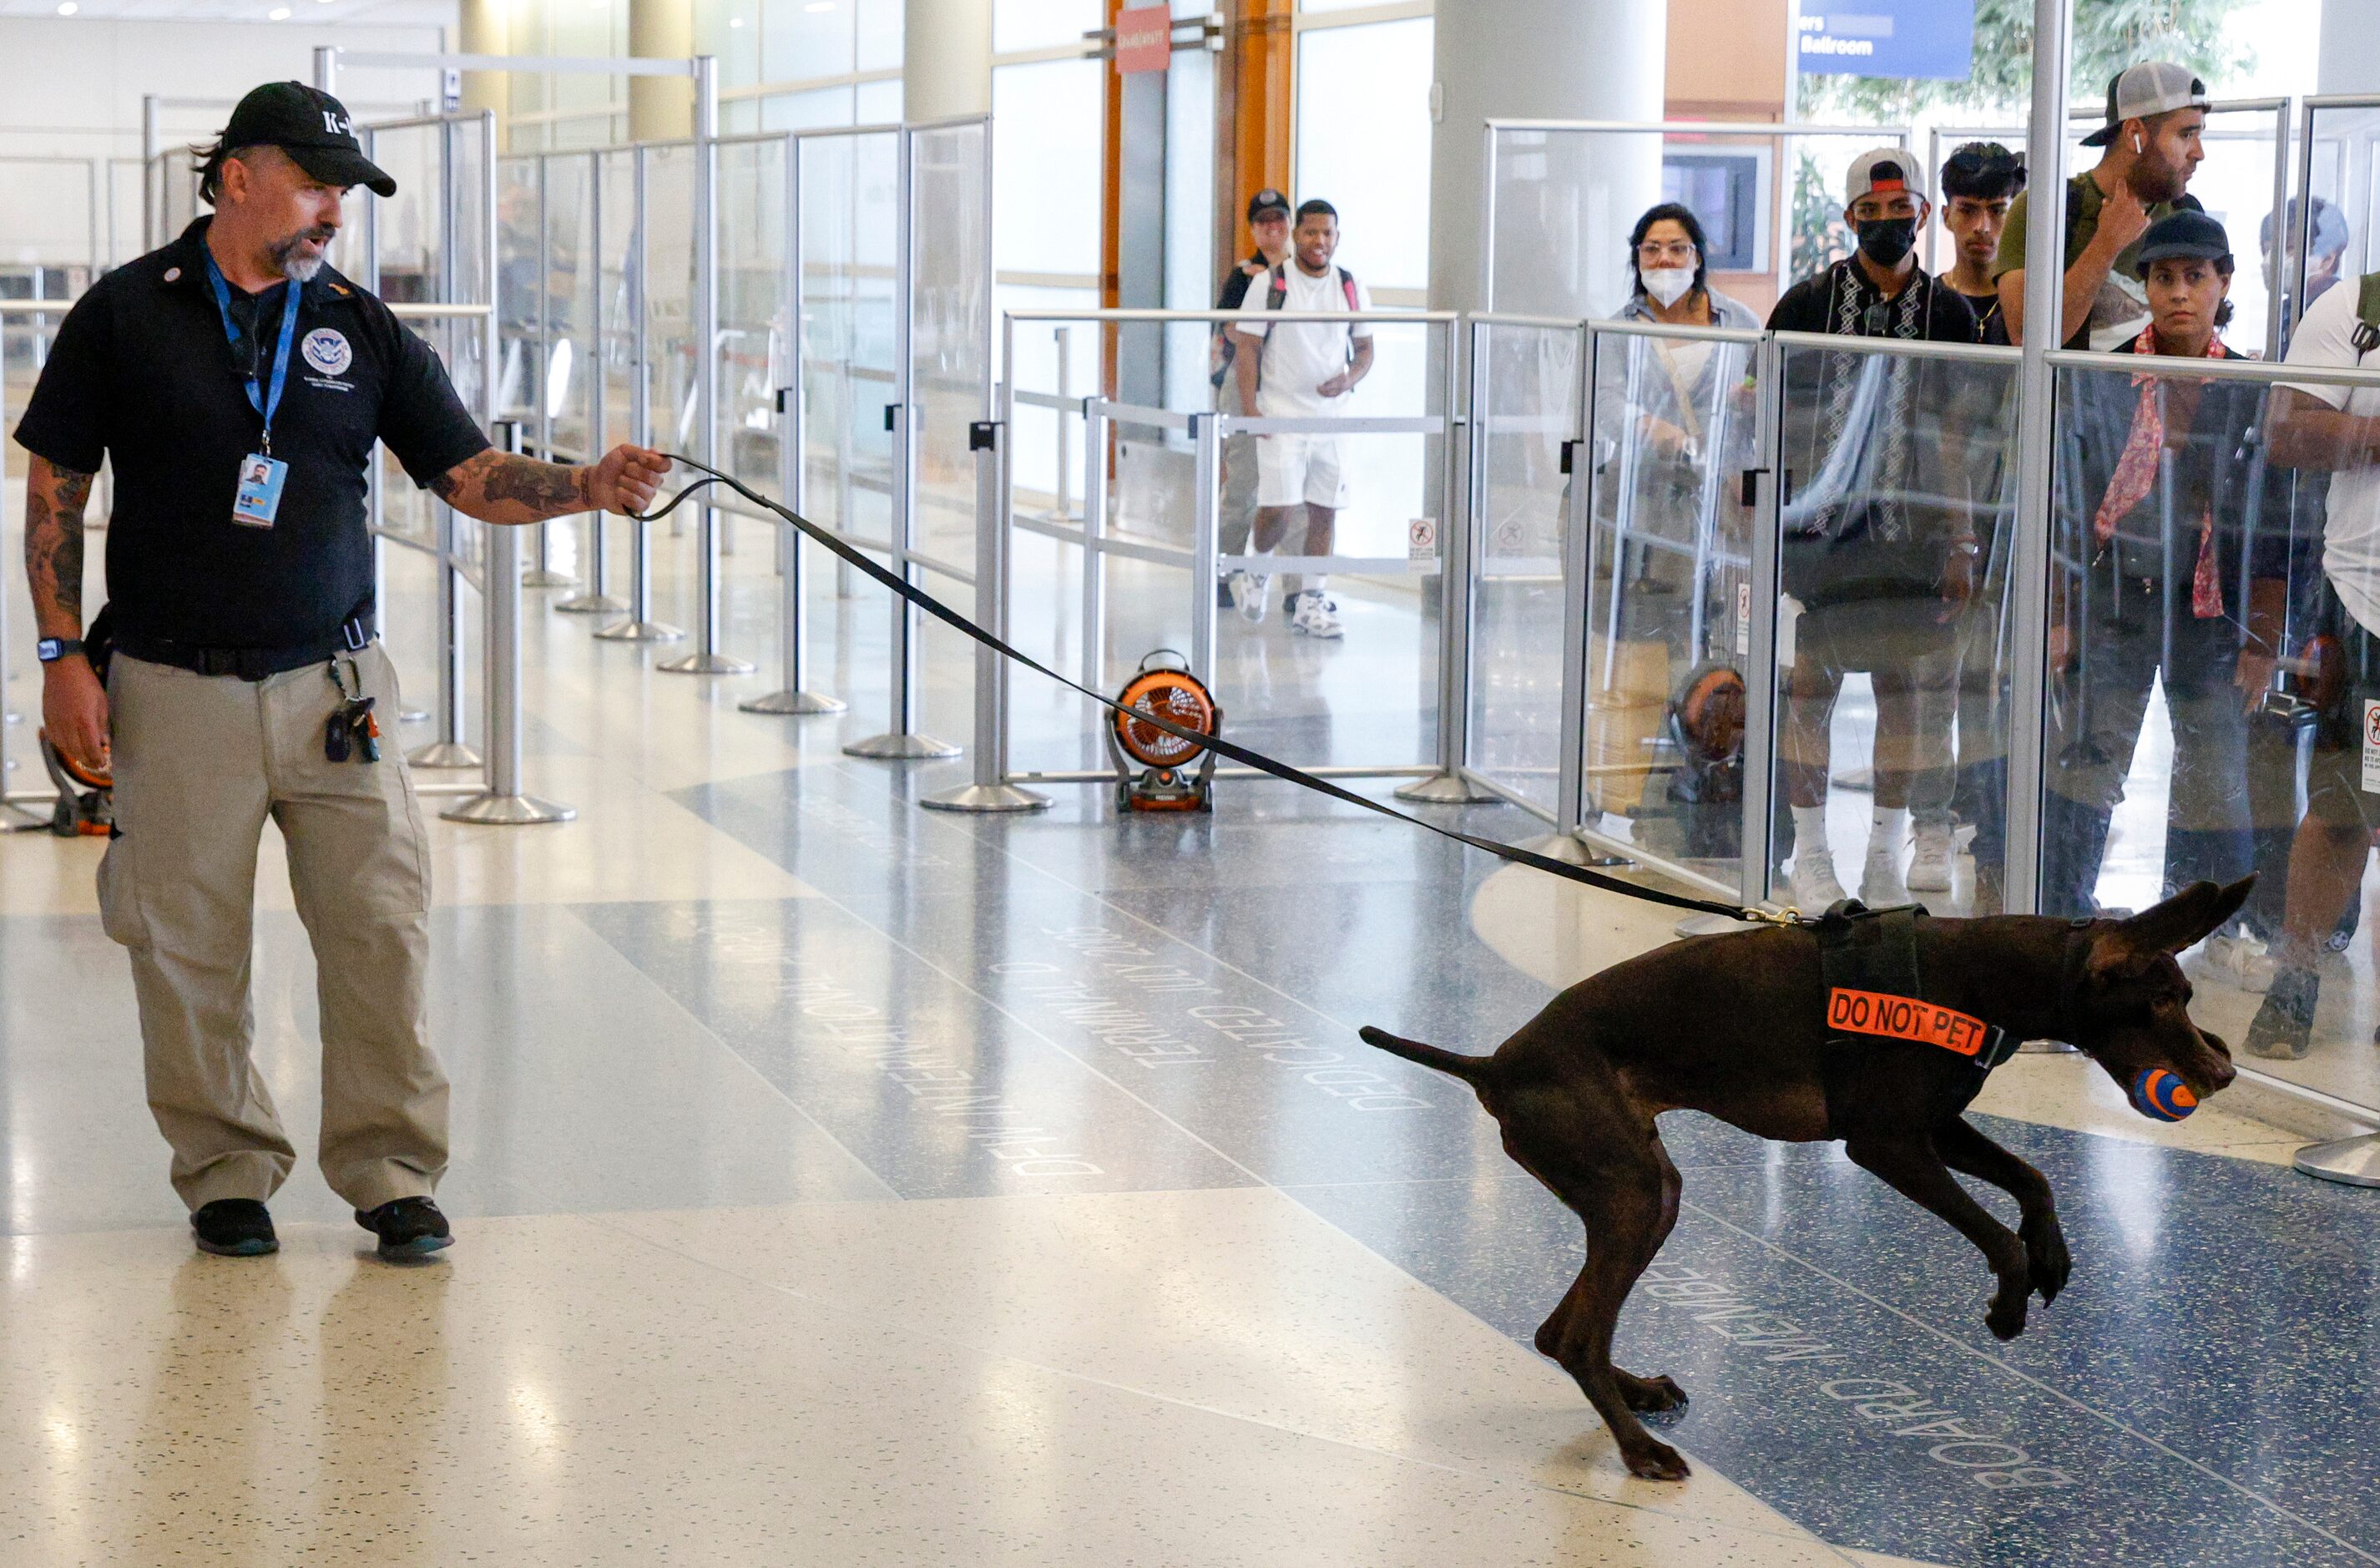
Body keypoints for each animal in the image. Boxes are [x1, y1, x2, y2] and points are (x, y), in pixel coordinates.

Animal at [1361, 885, 2246, 1485]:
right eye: (2160, 1000)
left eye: (2186, 995)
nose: (2224, 1072)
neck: (1981, 976)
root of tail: (1493, 1065)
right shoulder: (1885, 1143)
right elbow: (1996, 1233)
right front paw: (2007, 1302)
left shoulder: (1934, 1127)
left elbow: (2032, 1180)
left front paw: (2052, 1256)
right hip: (1629, 1193)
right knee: (1577, 1338)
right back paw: (1640, 1451)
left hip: (1646, 1193)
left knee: (1560, 1332)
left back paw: (1635, 1393)